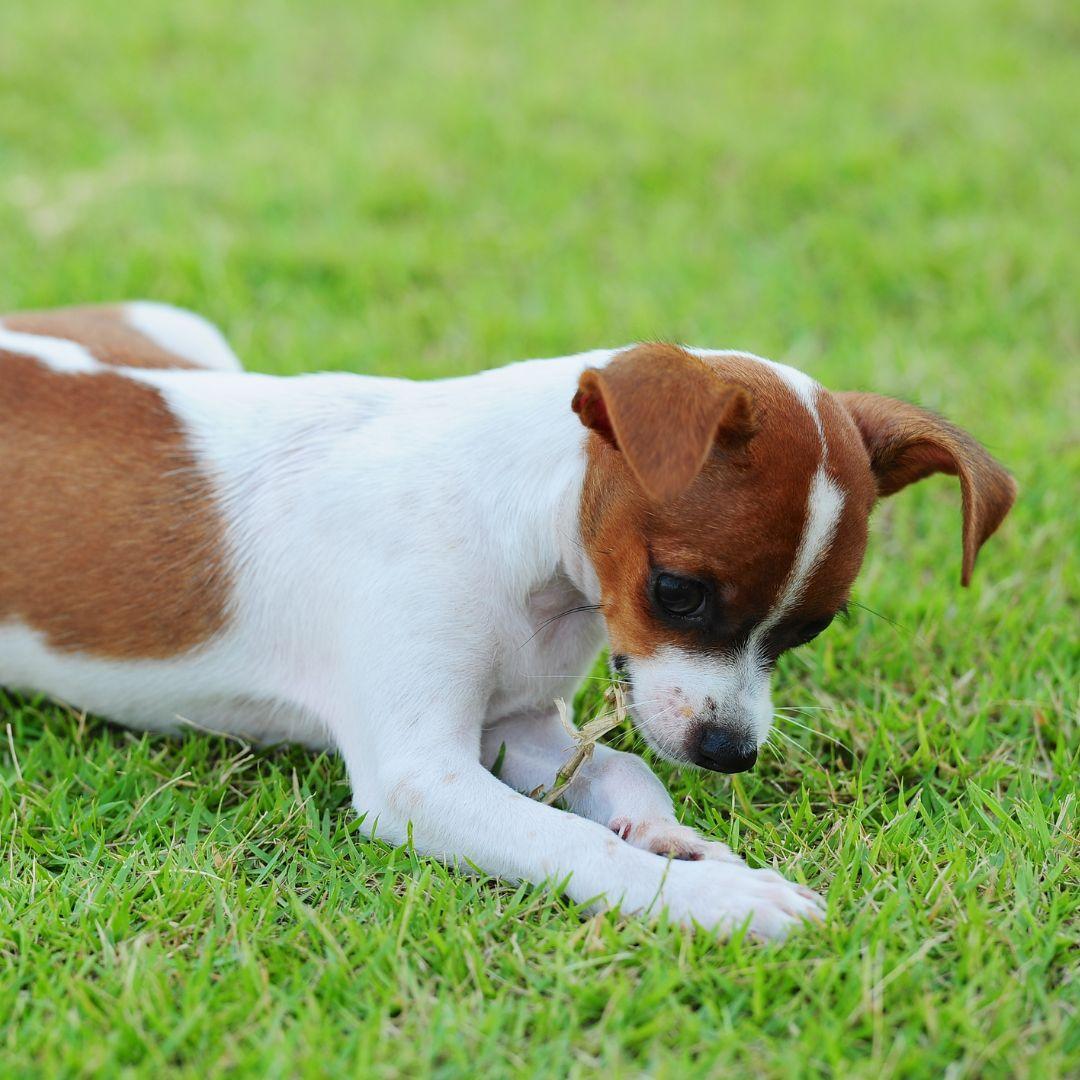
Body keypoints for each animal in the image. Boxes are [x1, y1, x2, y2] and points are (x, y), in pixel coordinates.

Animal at [0, 302, 1015, 937]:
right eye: (677, 591)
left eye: (809, 631)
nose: (730, 754)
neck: (525, 552)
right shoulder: (421, 778)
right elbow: (571, 843)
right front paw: (722, 902)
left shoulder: (519, 725)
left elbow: (619, 772)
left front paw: (672, 842)